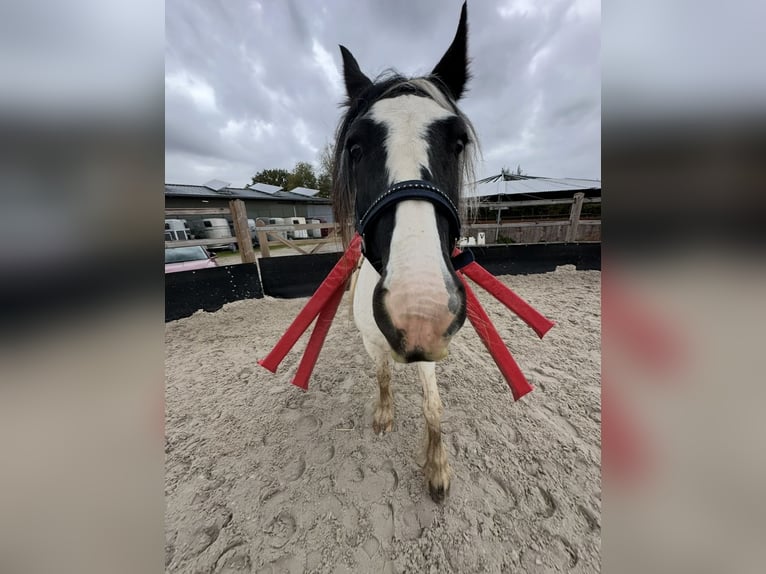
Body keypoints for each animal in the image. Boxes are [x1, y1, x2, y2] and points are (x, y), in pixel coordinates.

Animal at [331, 2, 478, 502]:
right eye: (355, 147)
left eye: (458, 142)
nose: (420, 309)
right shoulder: (375, 343)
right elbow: (381, 376)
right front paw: (383, 417)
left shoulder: (430, 347)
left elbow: (434, 407)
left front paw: (437, 469)